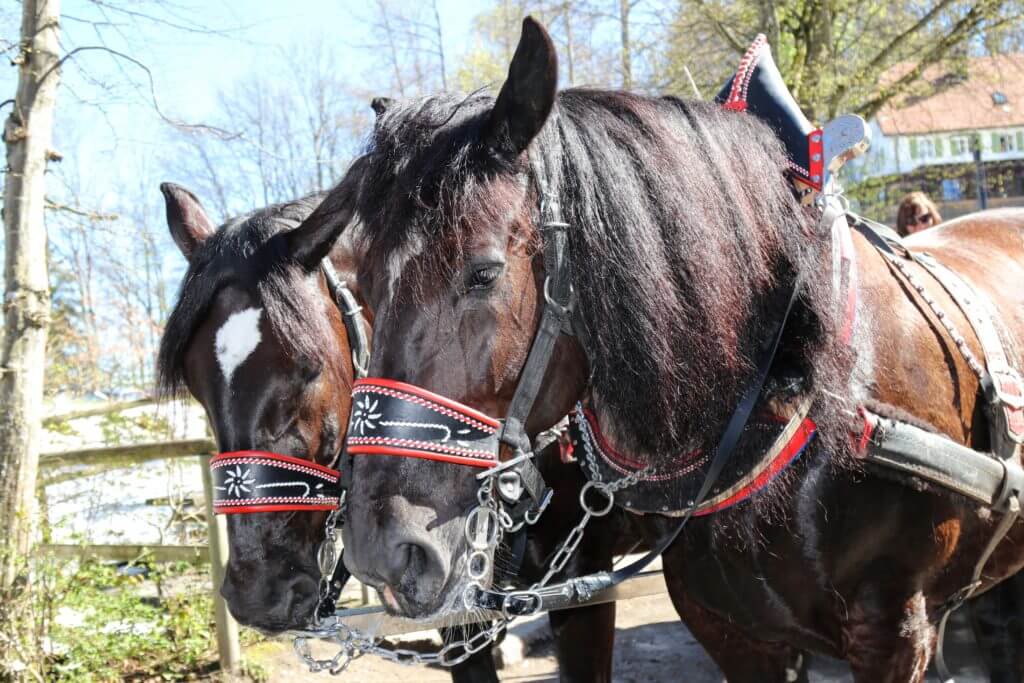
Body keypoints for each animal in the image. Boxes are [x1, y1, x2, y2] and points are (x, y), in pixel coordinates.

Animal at [285, 18, 1024, 682]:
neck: (792, 393)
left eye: (485, 272)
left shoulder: (892, 633)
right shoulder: (730, 631)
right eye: (364, 286)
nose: (384, 547)